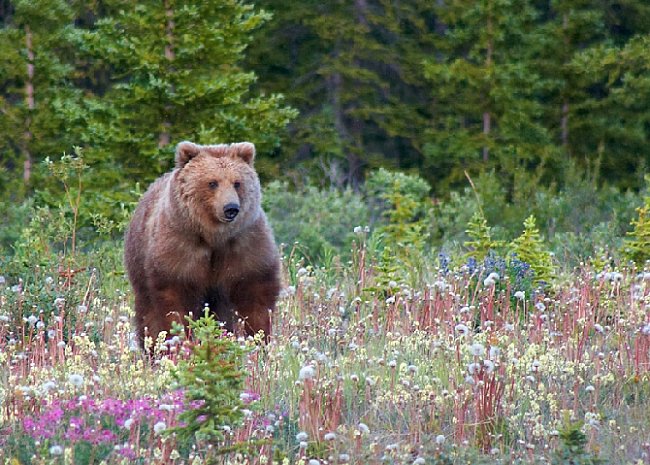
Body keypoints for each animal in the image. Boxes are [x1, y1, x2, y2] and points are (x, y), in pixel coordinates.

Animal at [125, 140, 280, 346]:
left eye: (237, 183)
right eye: (212, 182)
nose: (231, 208)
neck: (214, 236)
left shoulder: (244, 243)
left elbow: (256, 292)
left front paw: (258, 339)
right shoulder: (180, 245)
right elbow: (174, 300)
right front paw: (178, 340)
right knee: (147, 311)